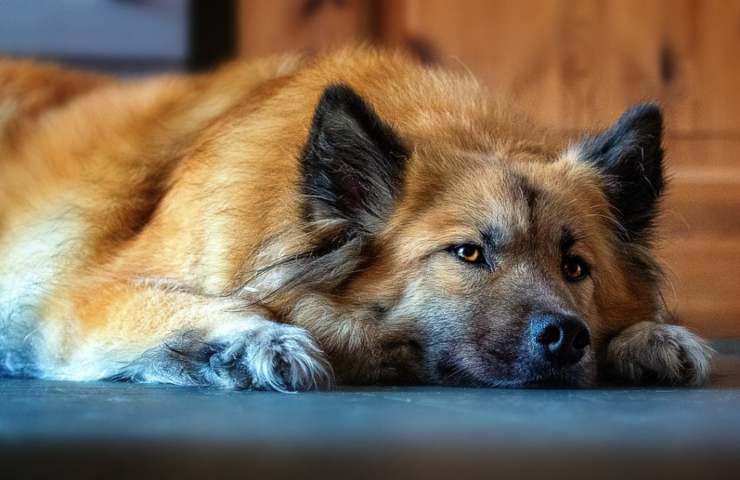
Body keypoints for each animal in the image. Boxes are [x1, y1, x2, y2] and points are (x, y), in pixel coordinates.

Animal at [0, 50, 712, 392]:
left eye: (575, 267)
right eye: (468, 254)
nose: (566, 337)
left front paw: (650, 338)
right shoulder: (84, 297)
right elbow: (190, 304)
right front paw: (257, 339)